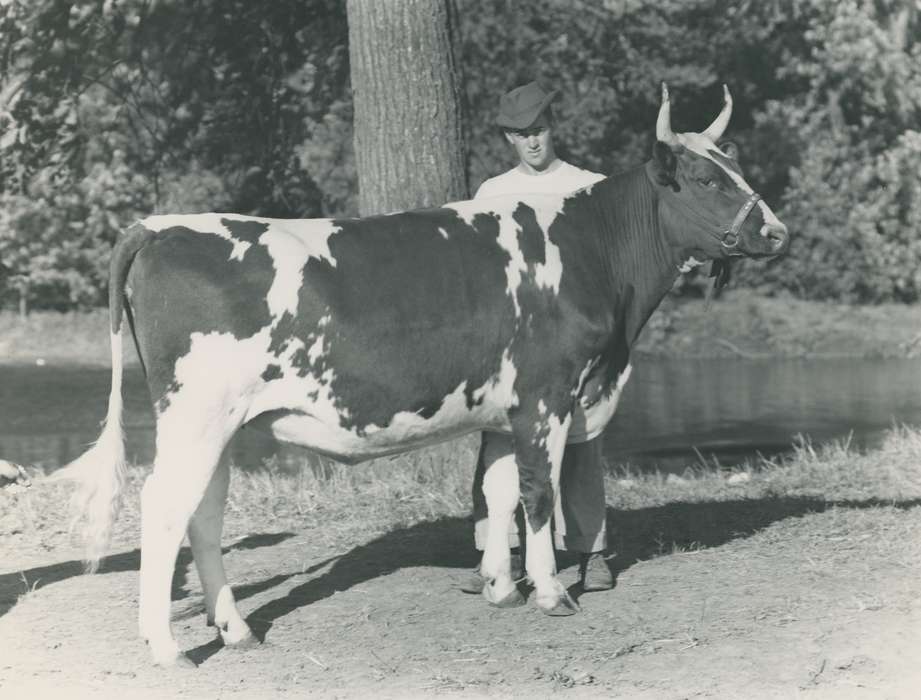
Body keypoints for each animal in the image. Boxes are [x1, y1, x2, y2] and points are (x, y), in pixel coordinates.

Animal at [57, 84, 789, 668]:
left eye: (736, 167)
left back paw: (235, 630)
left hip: (222, 424)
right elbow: (538, 494)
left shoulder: (505, 408)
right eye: (704, 179)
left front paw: (500, 587)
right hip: (195, 413)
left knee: (203, 514)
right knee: (164, 509)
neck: (590, 253)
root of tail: (161, 225)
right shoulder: (548, 394)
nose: (777, 232)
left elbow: (498, 491)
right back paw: (167, 648)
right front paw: (550, 592)